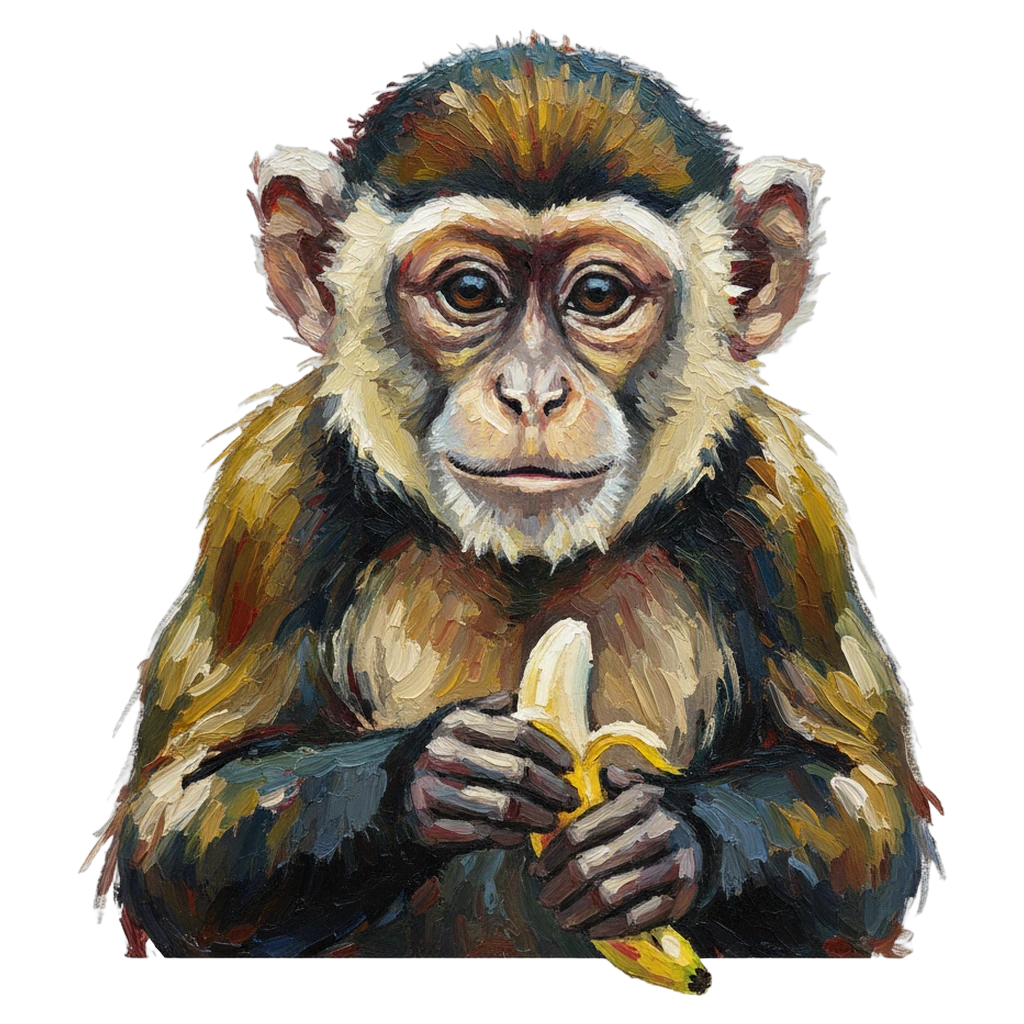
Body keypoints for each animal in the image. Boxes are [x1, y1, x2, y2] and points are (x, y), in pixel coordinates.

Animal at [83, 33, 942, 962]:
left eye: (598, 295)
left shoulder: (785, 507)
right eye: (469, 292)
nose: (532, 392)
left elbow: (865, 817)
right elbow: (177, 827)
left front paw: (661, 841)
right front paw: (438, 776)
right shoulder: (269, 494)